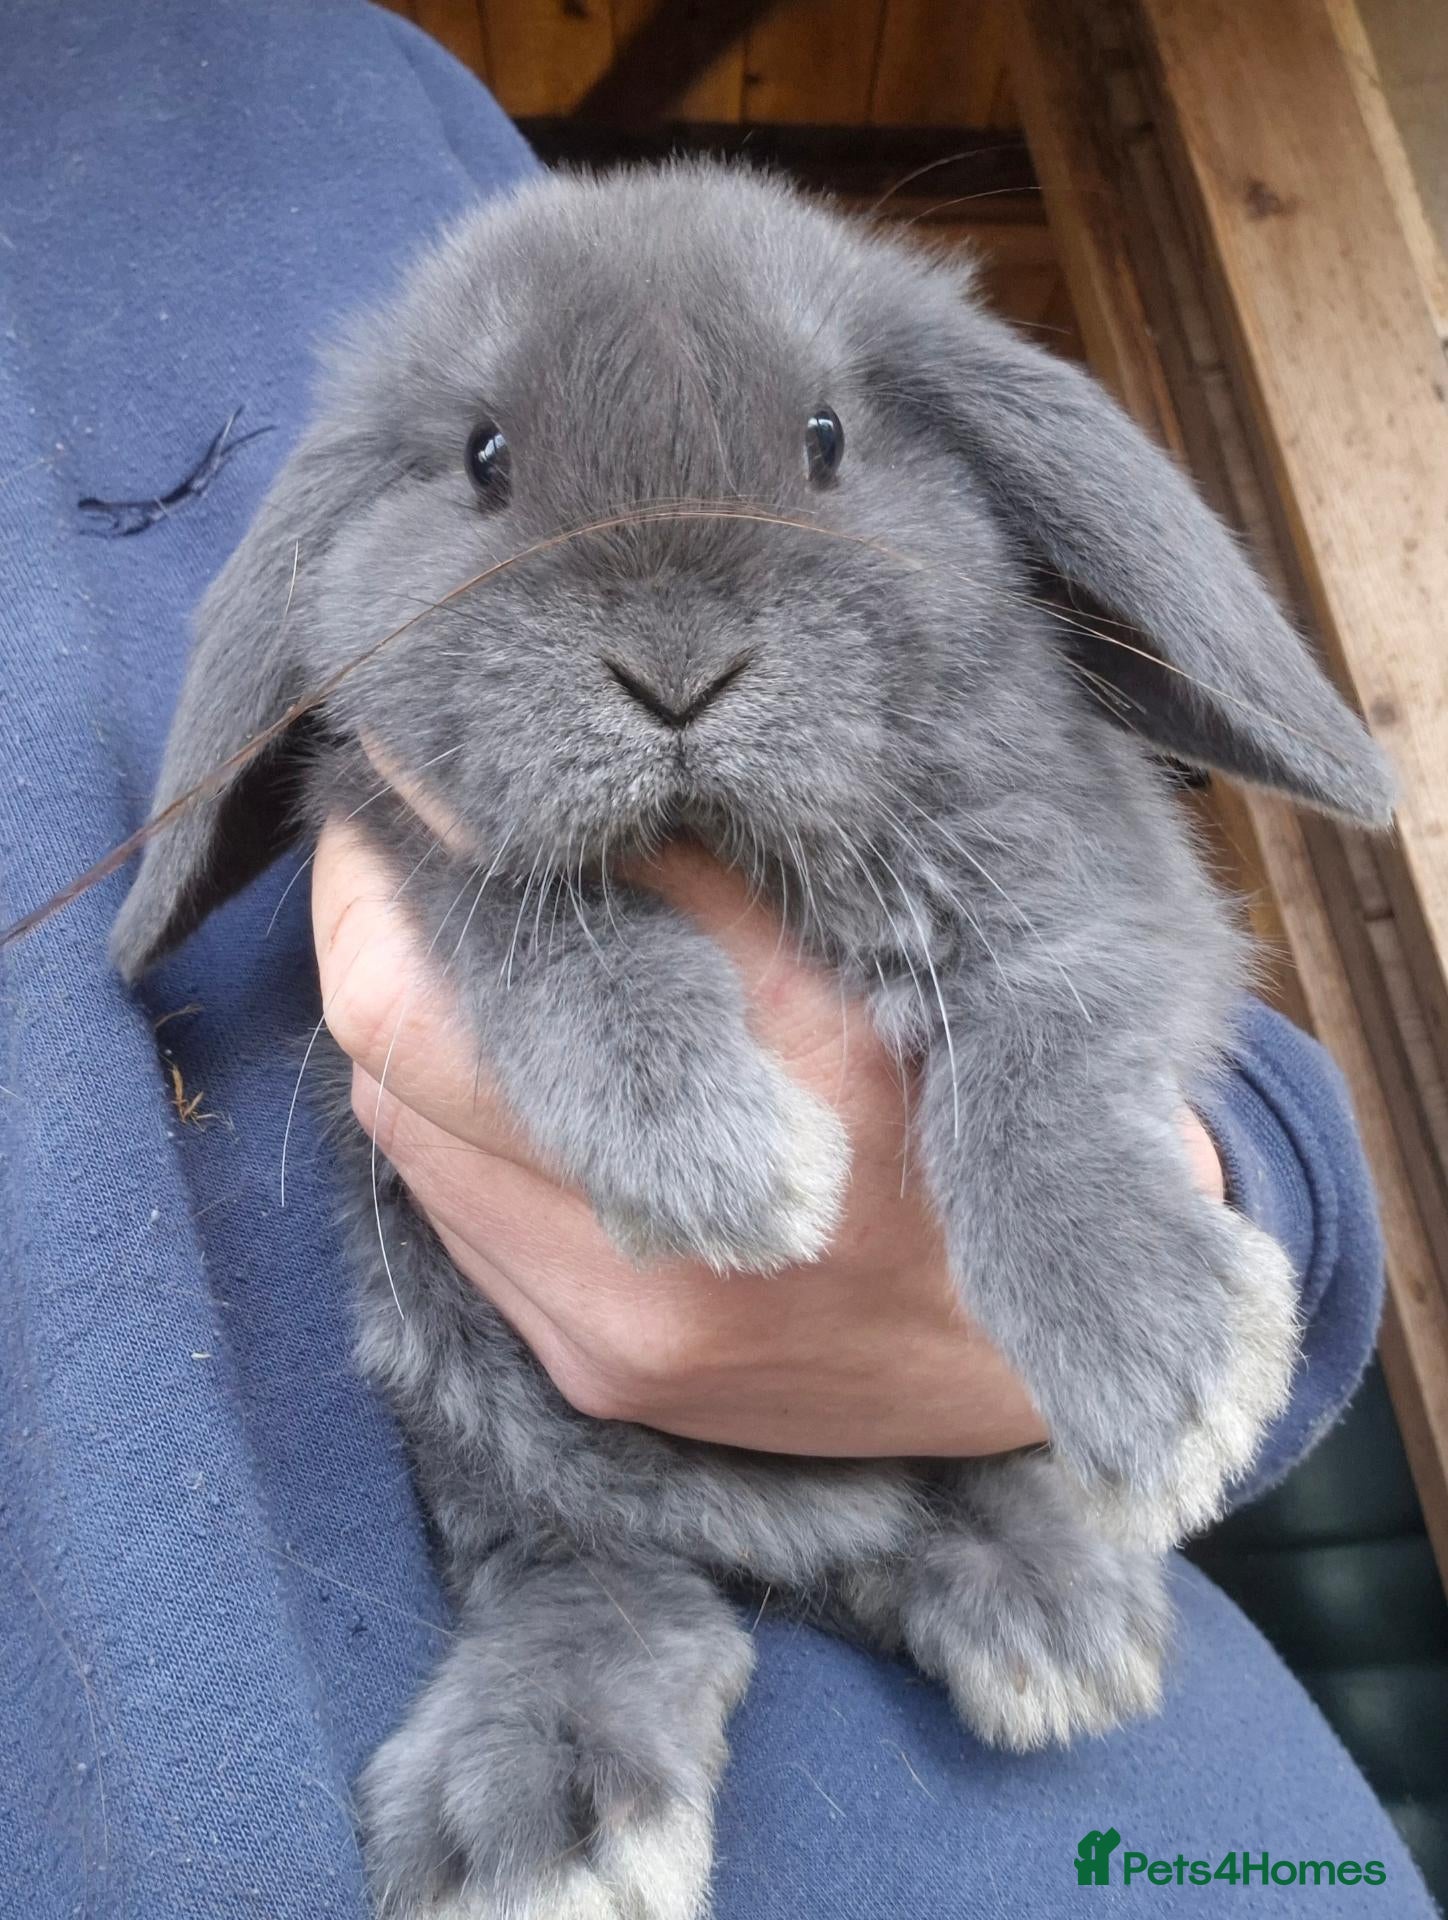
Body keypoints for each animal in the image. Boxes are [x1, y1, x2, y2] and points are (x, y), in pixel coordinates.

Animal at [110, 162, 1392, 1920]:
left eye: (828, 437)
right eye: (484, 459)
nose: (675, 675)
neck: (715, 834)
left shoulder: (1106, 900)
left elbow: (1035, 1063)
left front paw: (1165, 1367)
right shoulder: (424, 843)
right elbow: (552, 942)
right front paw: (724, 1165)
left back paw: (1056, 1614)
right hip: (477, 1396)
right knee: (614, 1587)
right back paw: (550, 1807)